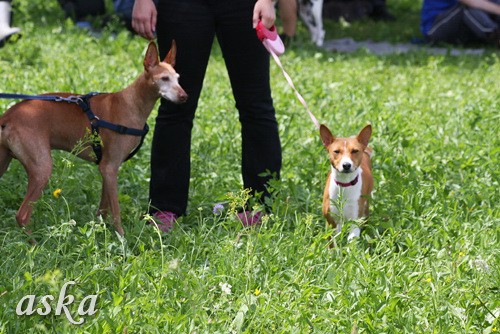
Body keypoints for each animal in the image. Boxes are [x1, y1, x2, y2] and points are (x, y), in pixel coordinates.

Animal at [0, 41, 188, 235]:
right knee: (22, 215)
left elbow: (102, 211)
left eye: (178, 78)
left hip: (4, 163)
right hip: (42, 169)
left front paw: (101, 235)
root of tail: (8, 115)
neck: (131, 103)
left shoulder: (106, 169)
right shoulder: (110, 168)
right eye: (164, 78)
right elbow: (116, 214)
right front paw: (122, 240)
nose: (184, 97)